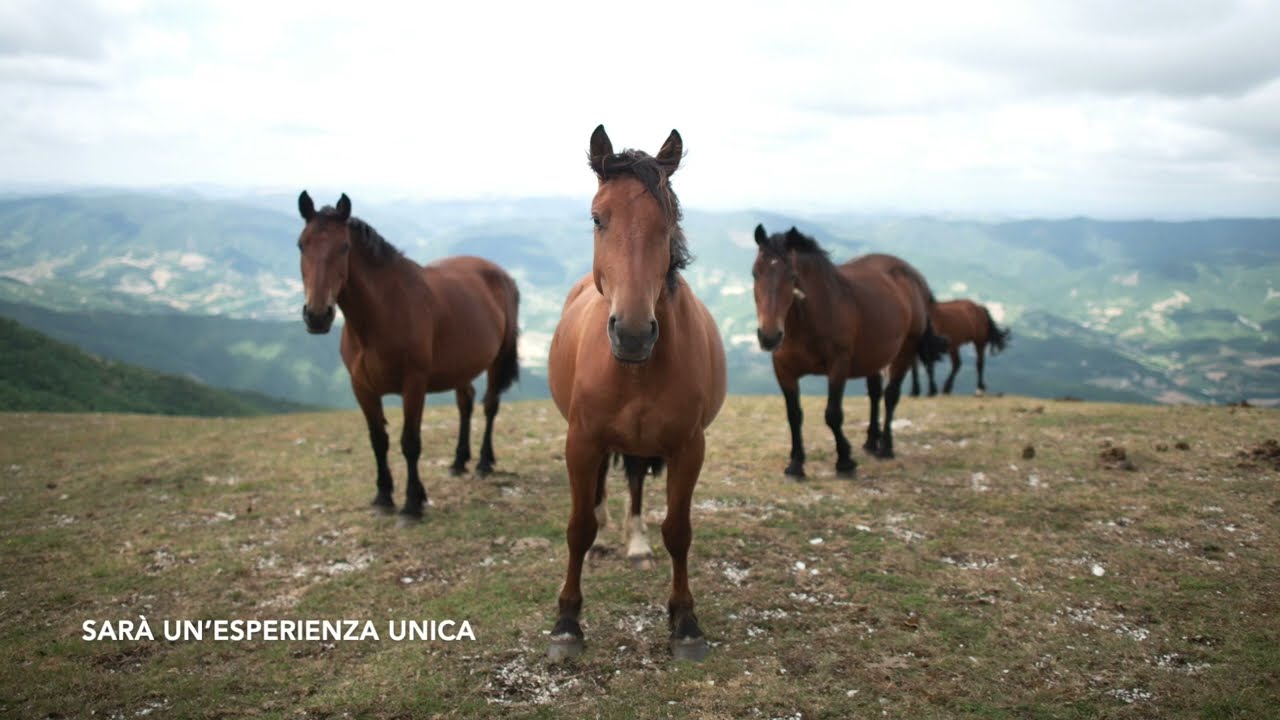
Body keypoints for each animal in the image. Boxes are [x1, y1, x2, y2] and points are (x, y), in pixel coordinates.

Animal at [295, 192, 520, 525]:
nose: (317, 316)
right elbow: (378, 441)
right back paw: (458, 462)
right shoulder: (362, 388)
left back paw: (483, 463)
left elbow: (410, 443)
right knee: (465, 403)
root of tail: (501, 274)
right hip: (461, 366)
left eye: (343, 247)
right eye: (301, 244)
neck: (382, 313)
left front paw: (413, 504)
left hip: (497, 359)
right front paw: (383, 497)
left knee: (490, 406)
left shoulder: (414, 385)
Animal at [545, 125, 726, 662]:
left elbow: (679, 532)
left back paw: (637, 544)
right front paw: (567, 623)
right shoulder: (581, 441)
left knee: (636, 484)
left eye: (667, 223)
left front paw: (685, 623)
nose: (631, 334)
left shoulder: (688, 448)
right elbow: (578, 527)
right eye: (597, 217)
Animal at [752, 225, 947, 478]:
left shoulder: (839, 366)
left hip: (905, 350)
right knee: (875, 394)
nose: (769, 336)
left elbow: (833, 414)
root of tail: (914, 276)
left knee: (891, 395)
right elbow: (794, 415)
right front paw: (795, 464)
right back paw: (871, 442)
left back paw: (885, 447)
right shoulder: (784, 370)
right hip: (873, 356)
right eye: (755, 273)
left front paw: (845, 460)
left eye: (792, 277)